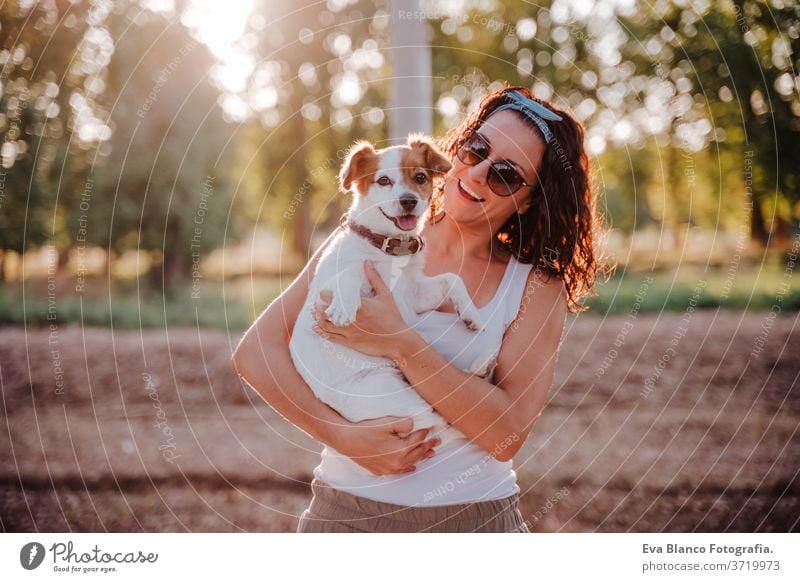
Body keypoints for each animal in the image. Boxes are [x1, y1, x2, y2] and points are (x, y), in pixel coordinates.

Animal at [290, 136, 488, 474]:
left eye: (420, 177)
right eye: (383, 181)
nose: (409, 201)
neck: (389, 249)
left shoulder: (413, 297)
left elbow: (452, 279)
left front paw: (470, 313)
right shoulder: (323, 291)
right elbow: (348, 271)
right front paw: (344, 306)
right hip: (389, 392)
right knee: (441, 420)